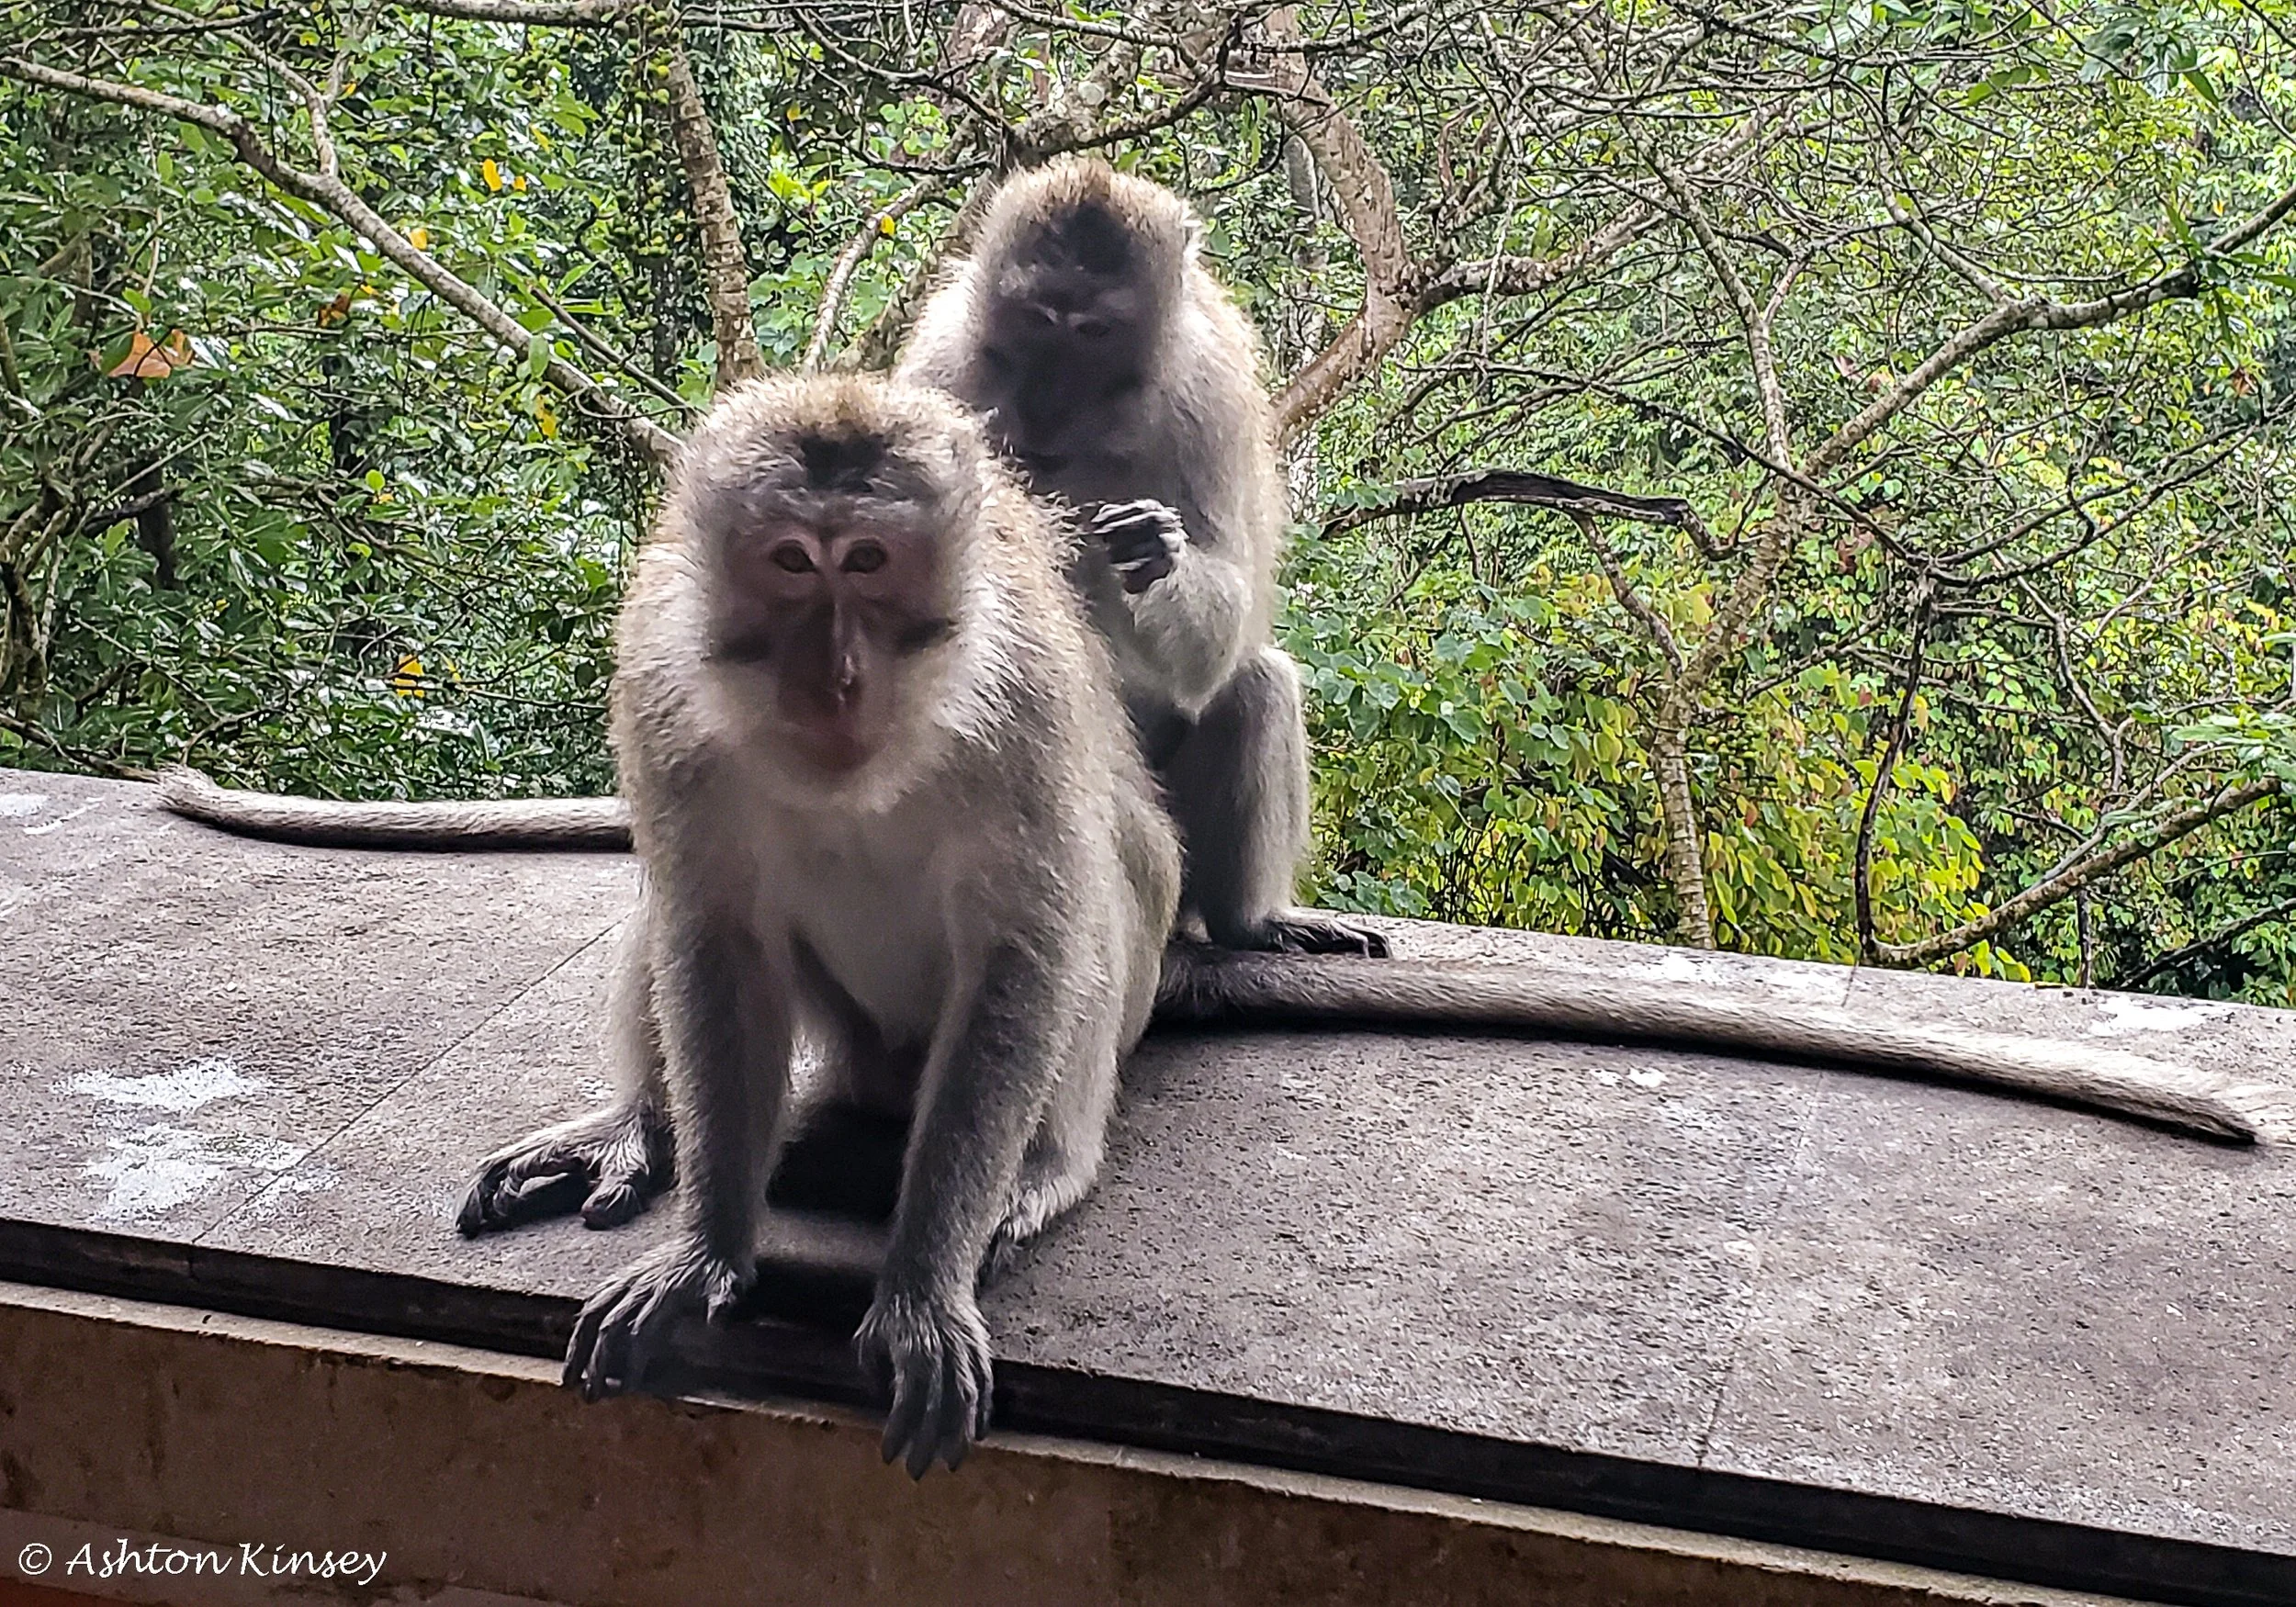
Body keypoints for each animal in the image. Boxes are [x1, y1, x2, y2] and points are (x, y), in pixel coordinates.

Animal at [892, 158, 1391, 961]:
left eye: (1094, 331)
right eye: (1039, 319)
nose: (1045, 401)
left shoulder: (1206, 399)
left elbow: (1225, 611)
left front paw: (1155, 553)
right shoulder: (942, 366)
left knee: (1254, 687)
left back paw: (1249, 920)